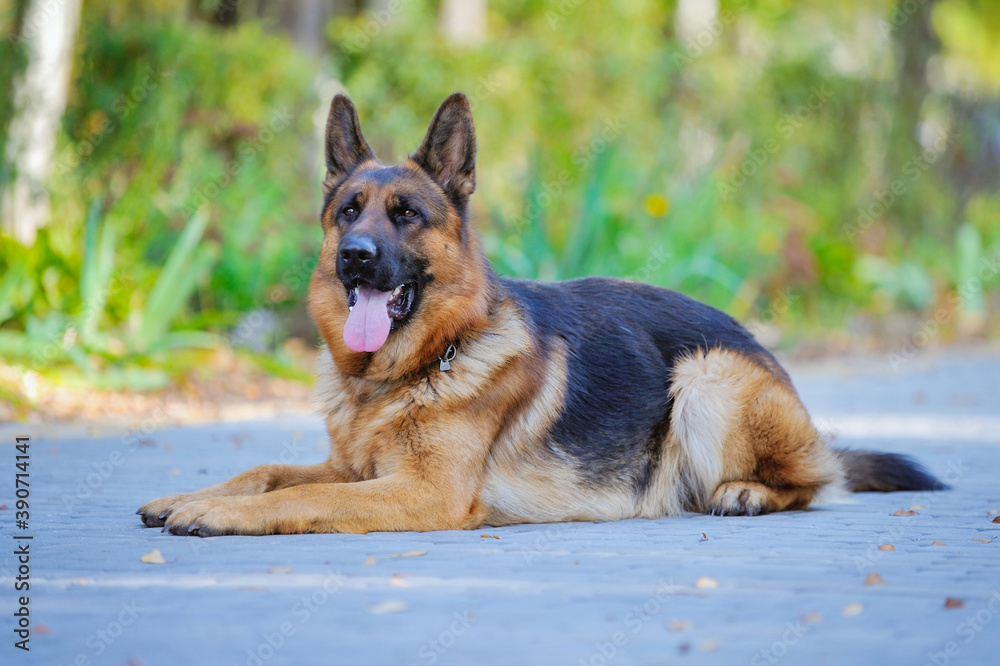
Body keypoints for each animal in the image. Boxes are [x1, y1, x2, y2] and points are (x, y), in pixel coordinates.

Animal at [139, 92, 944, 536]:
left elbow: (305, 497)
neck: (420, 364)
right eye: (348, 212)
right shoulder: (352, 465)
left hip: (706, 375)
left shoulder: (422, 491)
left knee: (814, 482)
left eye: (406, 215)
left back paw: (746, 490)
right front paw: (189, 495)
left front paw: (214, 514)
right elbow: (268, 471)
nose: (357, 259)